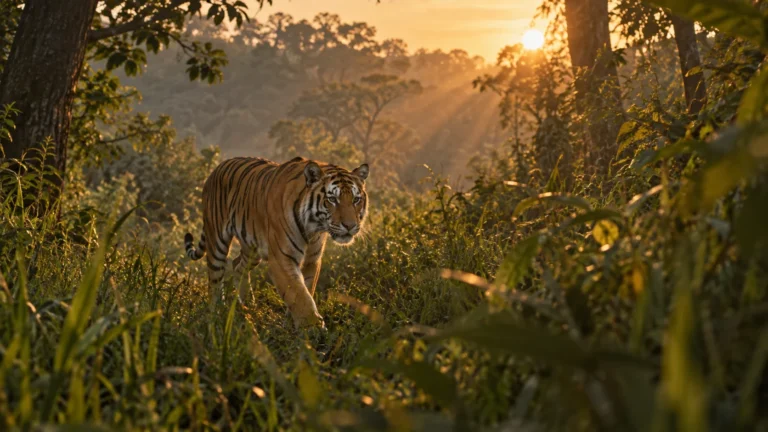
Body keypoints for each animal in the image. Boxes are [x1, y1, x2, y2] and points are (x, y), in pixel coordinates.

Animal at [183, 156, 369, 328]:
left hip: (253, 248)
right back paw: (217, 314)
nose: (350, 226)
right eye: (332, 200)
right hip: (217, 241)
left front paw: (292, 324)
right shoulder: (281, 259)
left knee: (237, 265)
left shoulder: (312, 259)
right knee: (214, 281)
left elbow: (305, 289)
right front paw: (312, 329)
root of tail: (217, 168)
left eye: (356, 200)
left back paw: (246, 306)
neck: (313, 227)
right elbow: (298, 294)